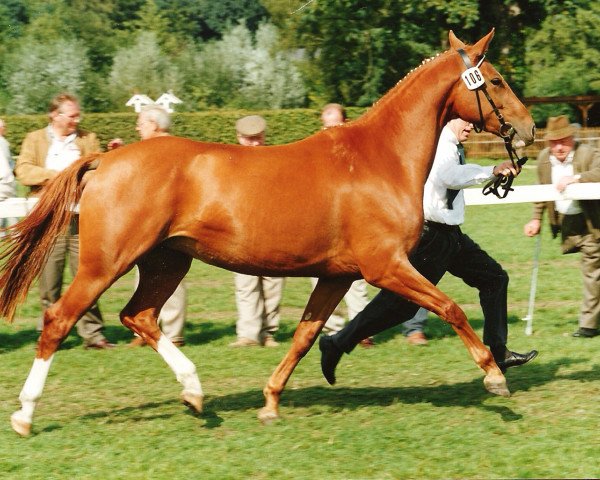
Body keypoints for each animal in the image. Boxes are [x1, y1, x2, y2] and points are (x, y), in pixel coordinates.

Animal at [0, 30, 536, 436]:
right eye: (495, 79)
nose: (529, 130)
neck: (379, 158)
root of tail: (105, 158)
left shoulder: (338, 275)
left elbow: (305, 336)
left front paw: (271, 402)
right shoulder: (385, 266)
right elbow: (450, 307)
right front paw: (494, 376)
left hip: (167, 261)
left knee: (141, 316)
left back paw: (194, 392)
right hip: (105, 261)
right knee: (60, 320)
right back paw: (25, 415)